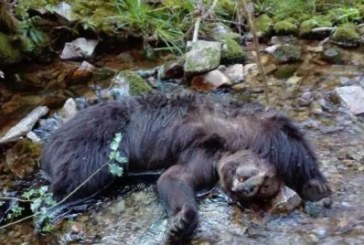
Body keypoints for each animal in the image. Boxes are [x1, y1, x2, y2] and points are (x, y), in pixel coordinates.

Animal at [41, 93, 332, 244]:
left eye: (265, 188)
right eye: (265, 179)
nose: (247, 188)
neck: (228, 145)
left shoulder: (203, 158)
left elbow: (174, 177)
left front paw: (180, 223)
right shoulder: (252, 129)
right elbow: (294, 145)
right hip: (97, 139)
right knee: (81, 173)